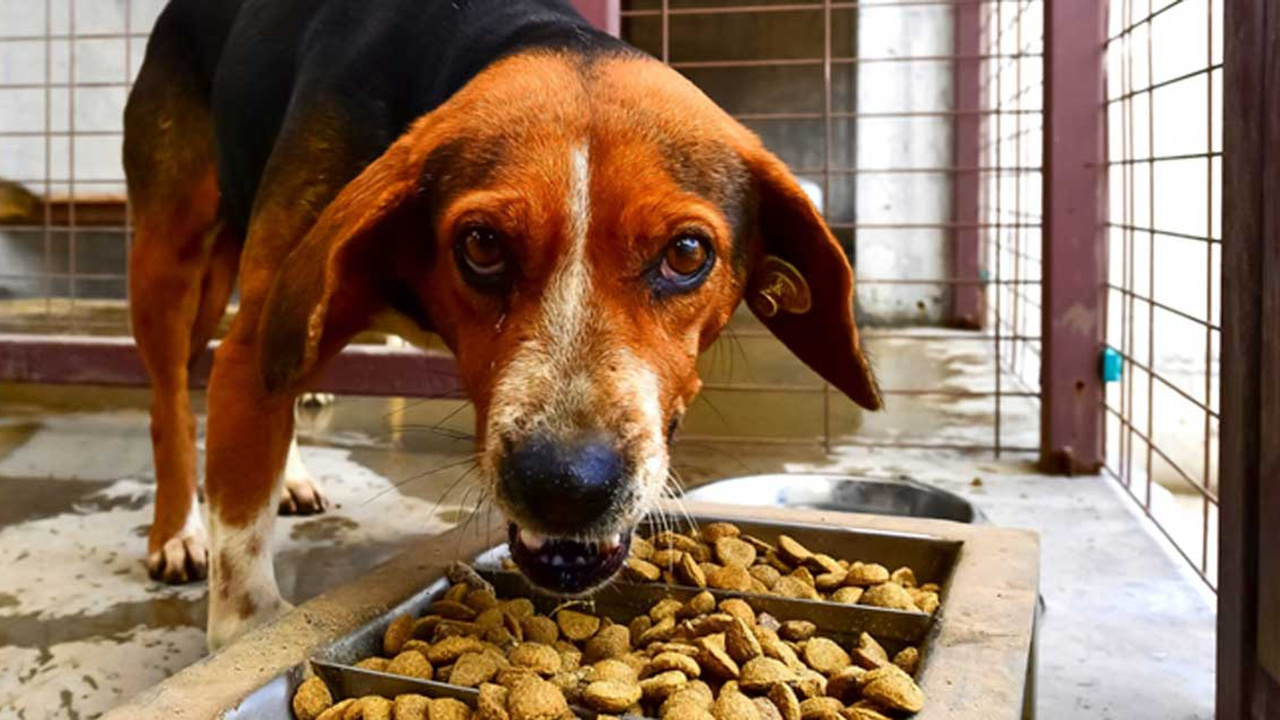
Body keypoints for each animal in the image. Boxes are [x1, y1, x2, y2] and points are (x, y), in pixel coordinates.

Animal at [124, 0, 885, 648]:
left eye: (688, 254)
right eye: (482, 244)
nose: (566, 487)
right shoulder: (256, 347)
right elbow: (242, 574)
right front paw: (247, 626)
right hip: (172, 261)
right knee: (168, 401)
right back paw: (176, 532)